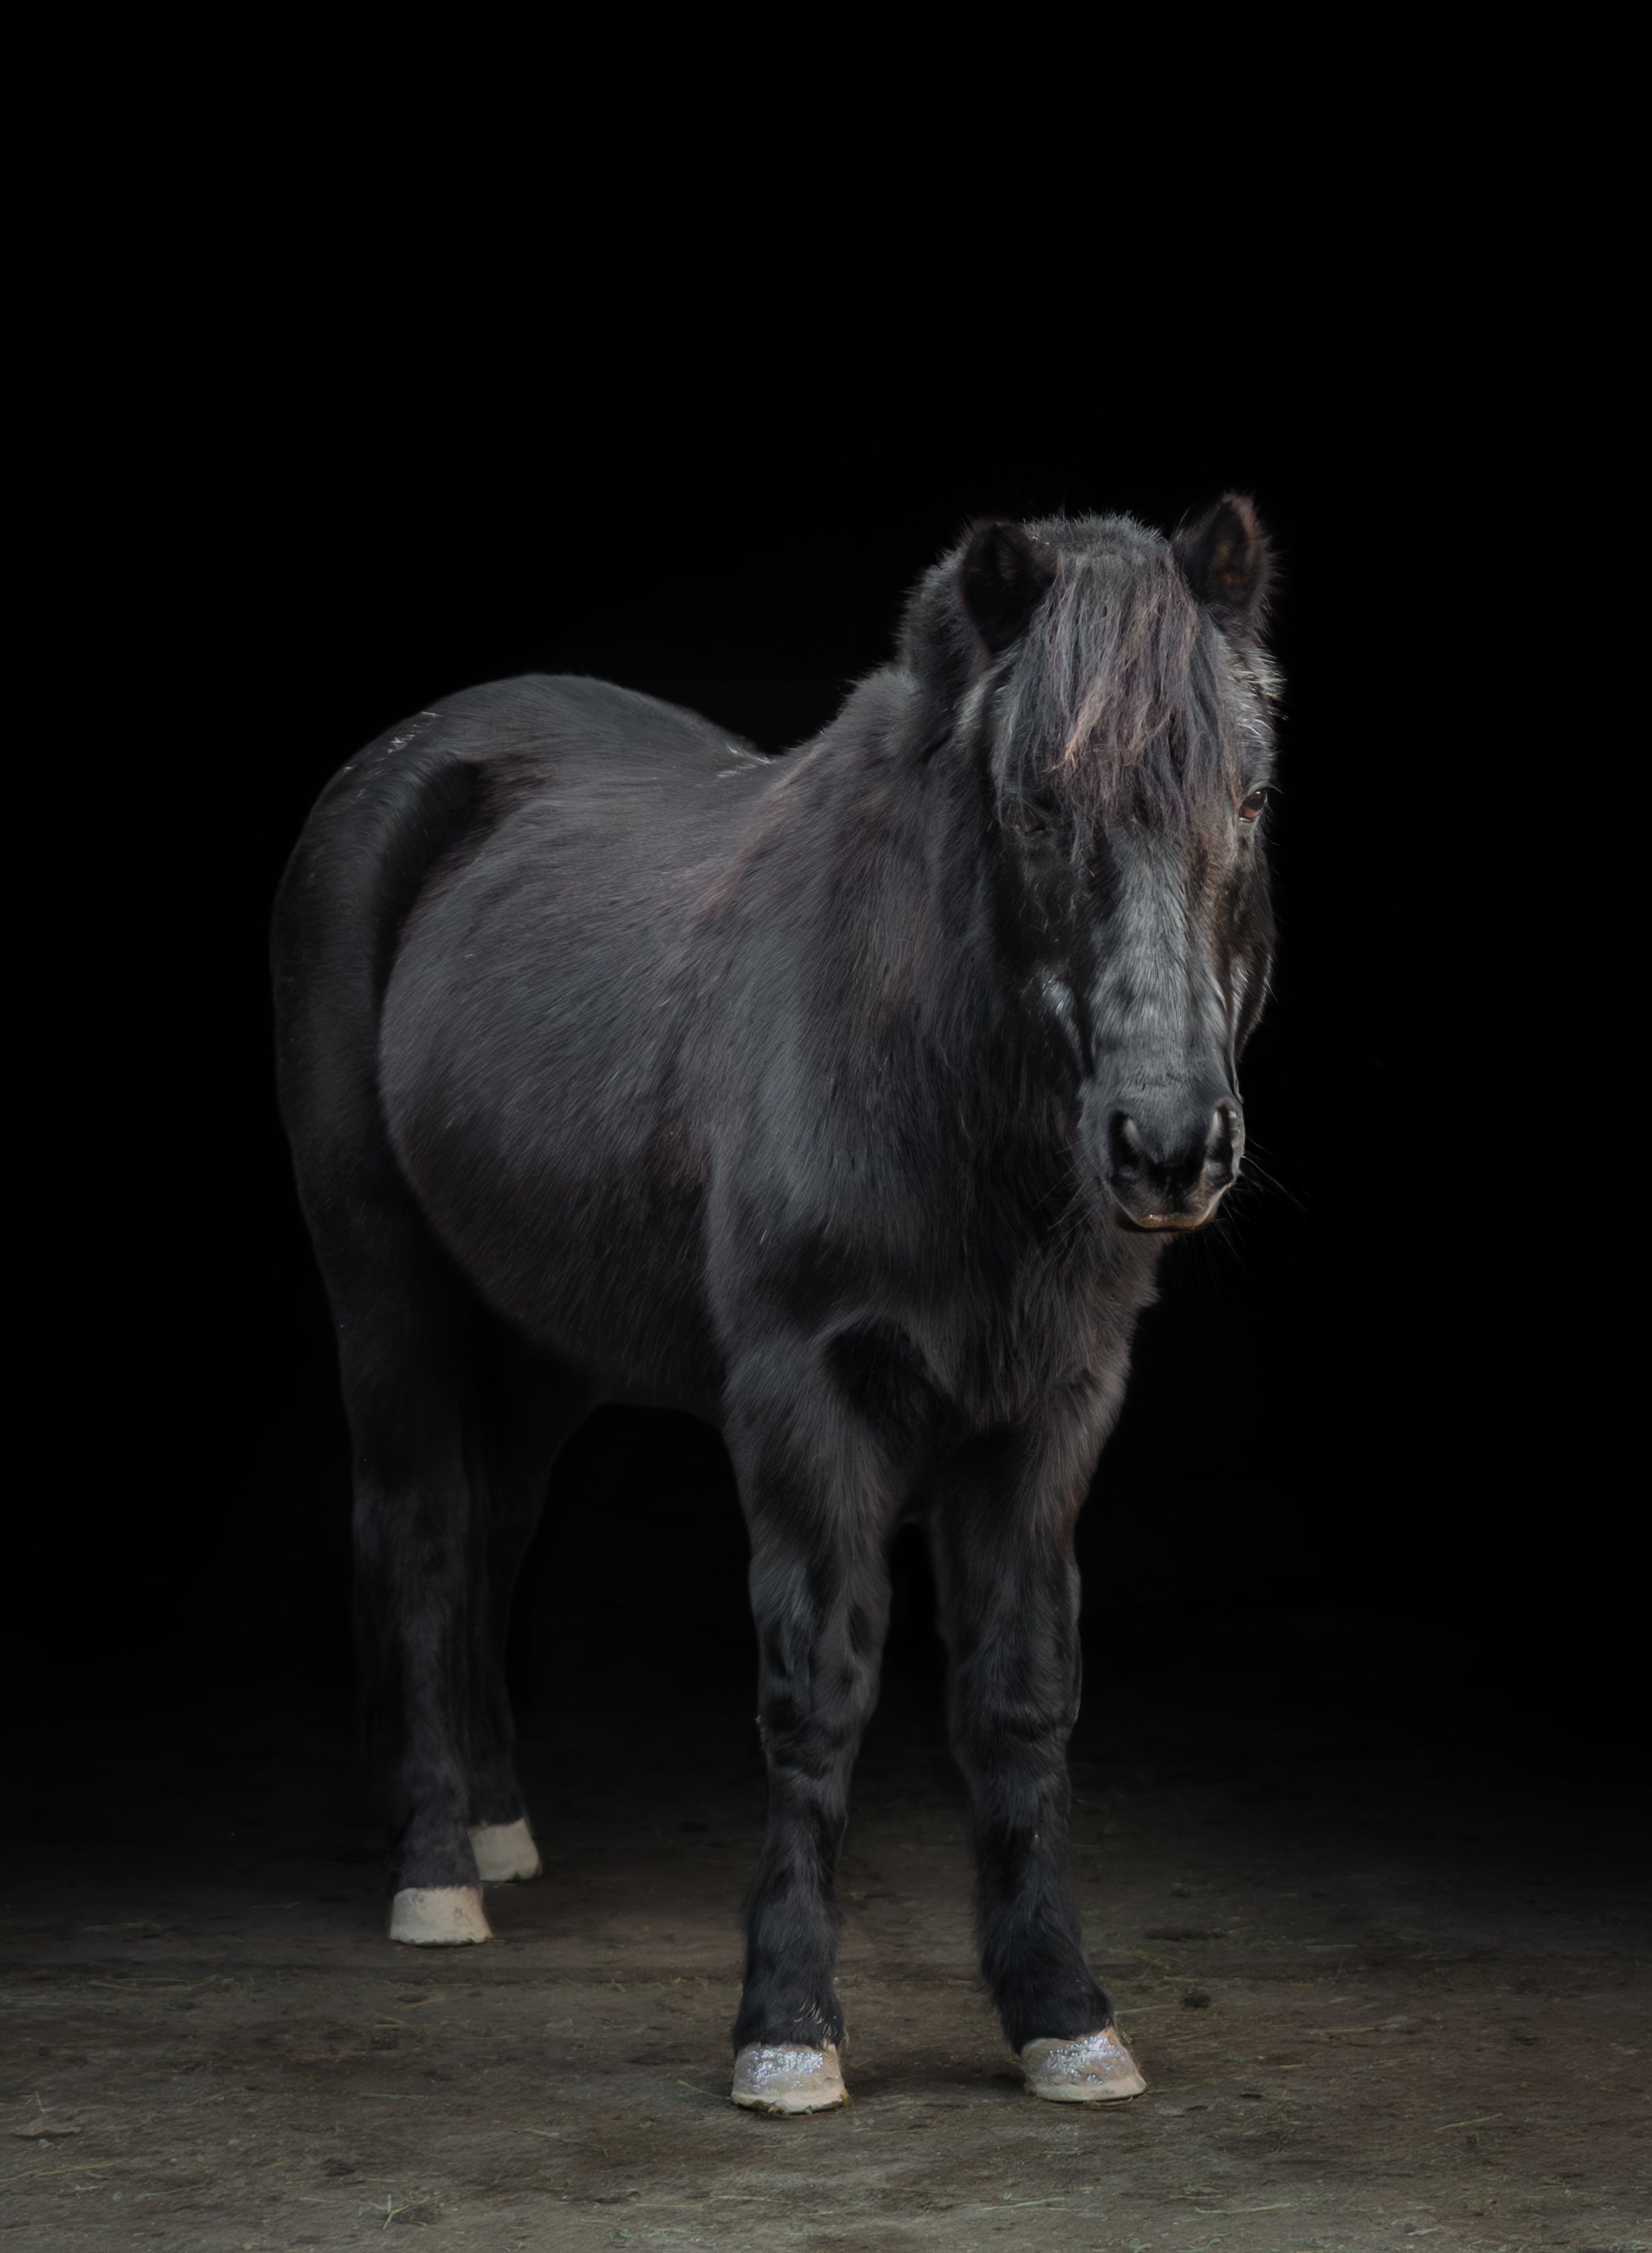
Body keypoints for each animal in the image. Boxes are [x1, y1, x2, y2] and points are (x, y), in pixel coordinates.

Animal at [272, 496, 1279, 2113]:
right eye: (1035, 809)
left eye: (1246, 800)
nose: (1170, 1142)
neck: (922, 1066)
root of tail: (411, 762)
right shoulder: (808, 1399)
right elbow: (820, 1689)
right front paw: (788, 2027)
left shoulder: (1049, 1413)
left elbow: (1019, 1695)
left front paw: (1061, 2013)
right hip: (384, 1281)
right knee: (419, 1524)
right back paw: (437, 1872)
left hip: (544, 1332)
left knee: (495, 1527)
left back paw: (498, 1825)